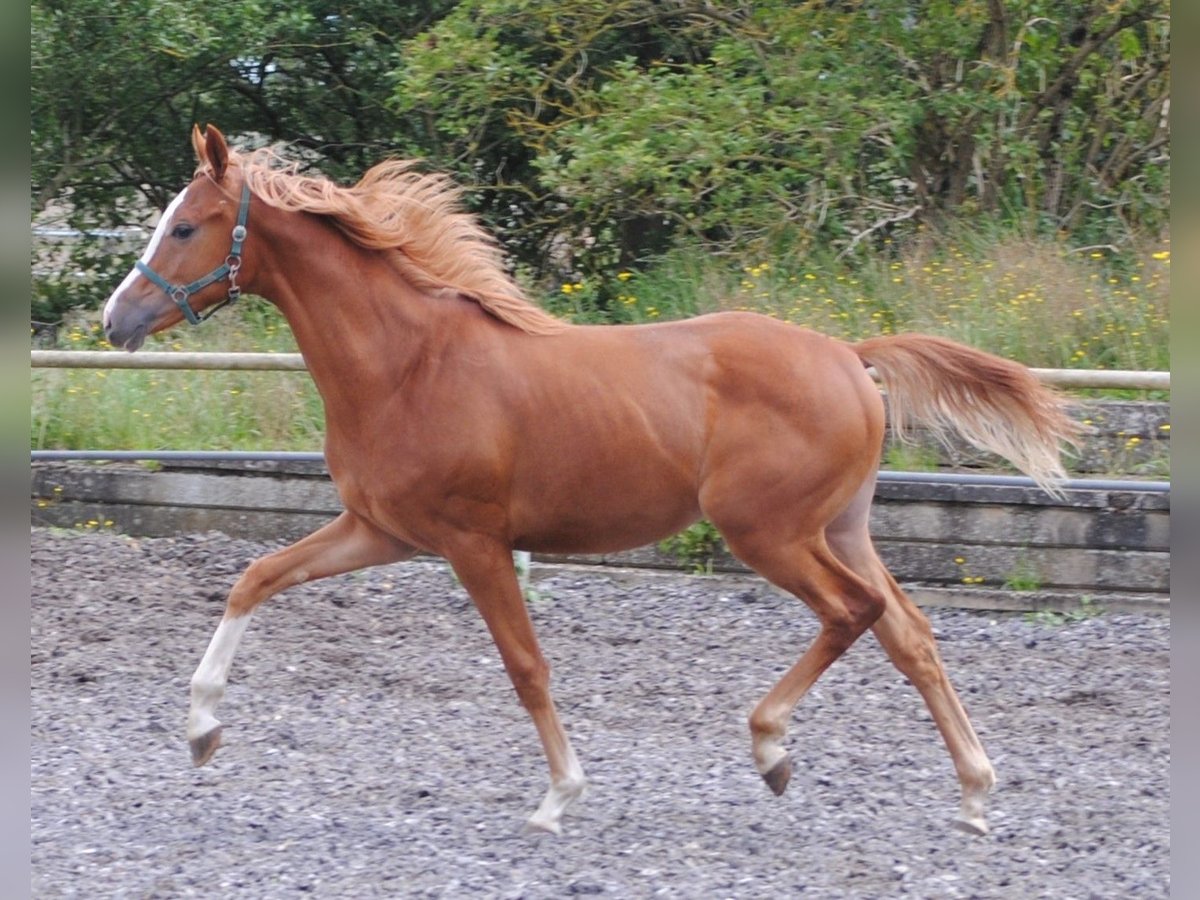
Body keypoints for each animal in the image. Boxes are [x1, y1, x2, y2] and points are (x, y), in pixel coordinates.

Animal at [100, 127, 1080, 840]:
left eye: (183, 227)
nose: (115, 321)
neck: (407, 365)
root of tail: (849, 354)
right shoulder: (379, 529)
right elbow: (254, 578)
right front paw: (201, 731)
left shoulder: (472, 542)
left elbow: (526, 664)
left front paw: (559, 796)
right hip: (839, 528)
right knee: (910, 634)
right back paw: (975, 795)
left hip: (768, 532)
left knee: (856, 614)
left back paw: (773, 750)